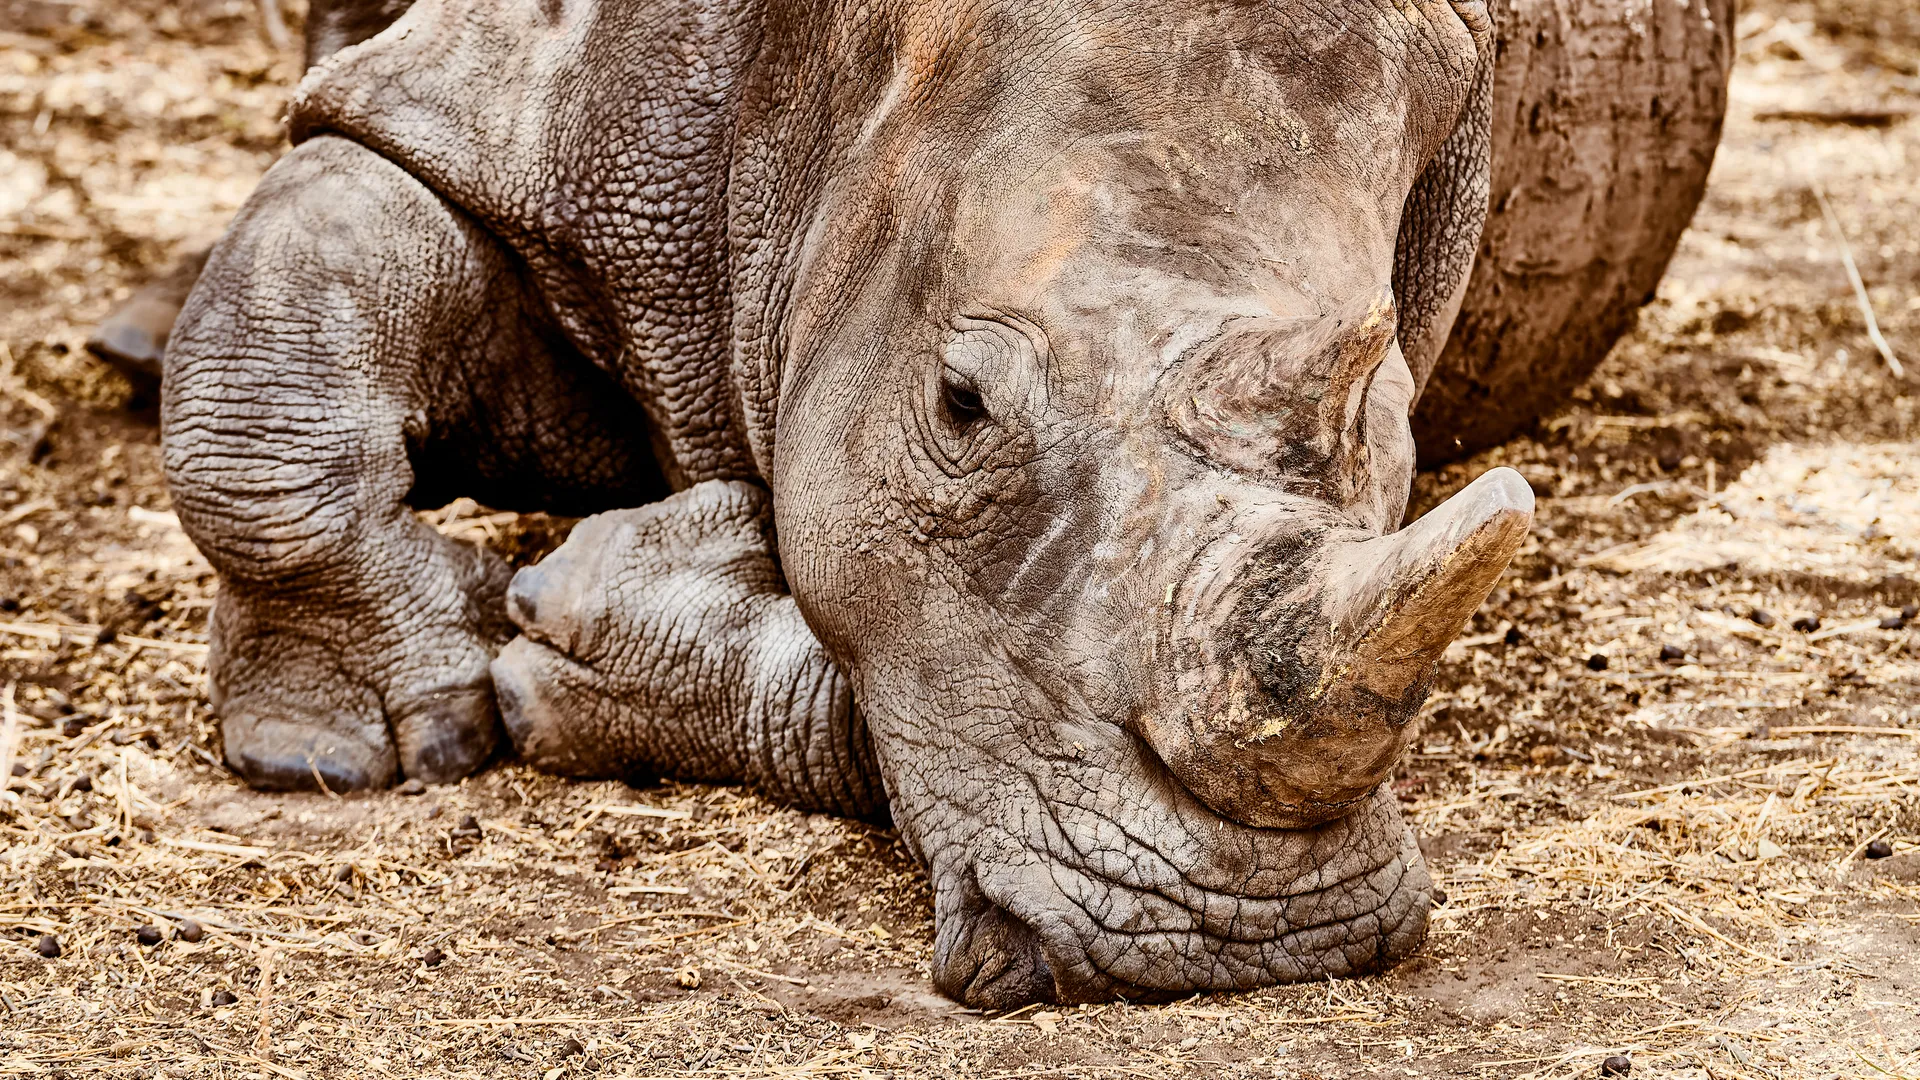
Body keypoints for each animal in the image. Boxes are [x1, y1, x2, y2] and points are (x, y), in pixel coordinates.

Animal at [159, 0, 1729, 1007]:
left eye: (1388, 429)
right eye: (961, 405)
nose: (1238, 937)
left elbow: (908, 675)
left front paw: (598, 626)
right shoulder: (533, 102)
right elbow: (289, 310)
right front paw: (353, 750)